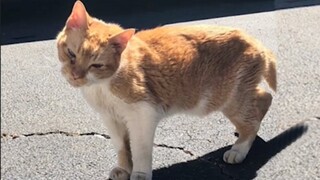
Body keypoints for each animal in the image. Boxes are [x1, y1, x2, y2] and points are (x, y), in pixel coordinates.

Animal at [56, 0, 276, 179]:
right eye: (71, 54)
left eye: (96, 65)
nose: (76, 76)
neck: (100, 87)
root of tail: (255, 41)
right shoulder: (111, 118)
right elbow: (121, 146)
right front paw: (124, 169)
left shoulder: (142, 114)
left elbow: (139, 148)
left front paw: (139, 174)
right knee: (264, 98)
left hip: (228, 97)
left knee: (253, 118)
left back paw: (239, 149)